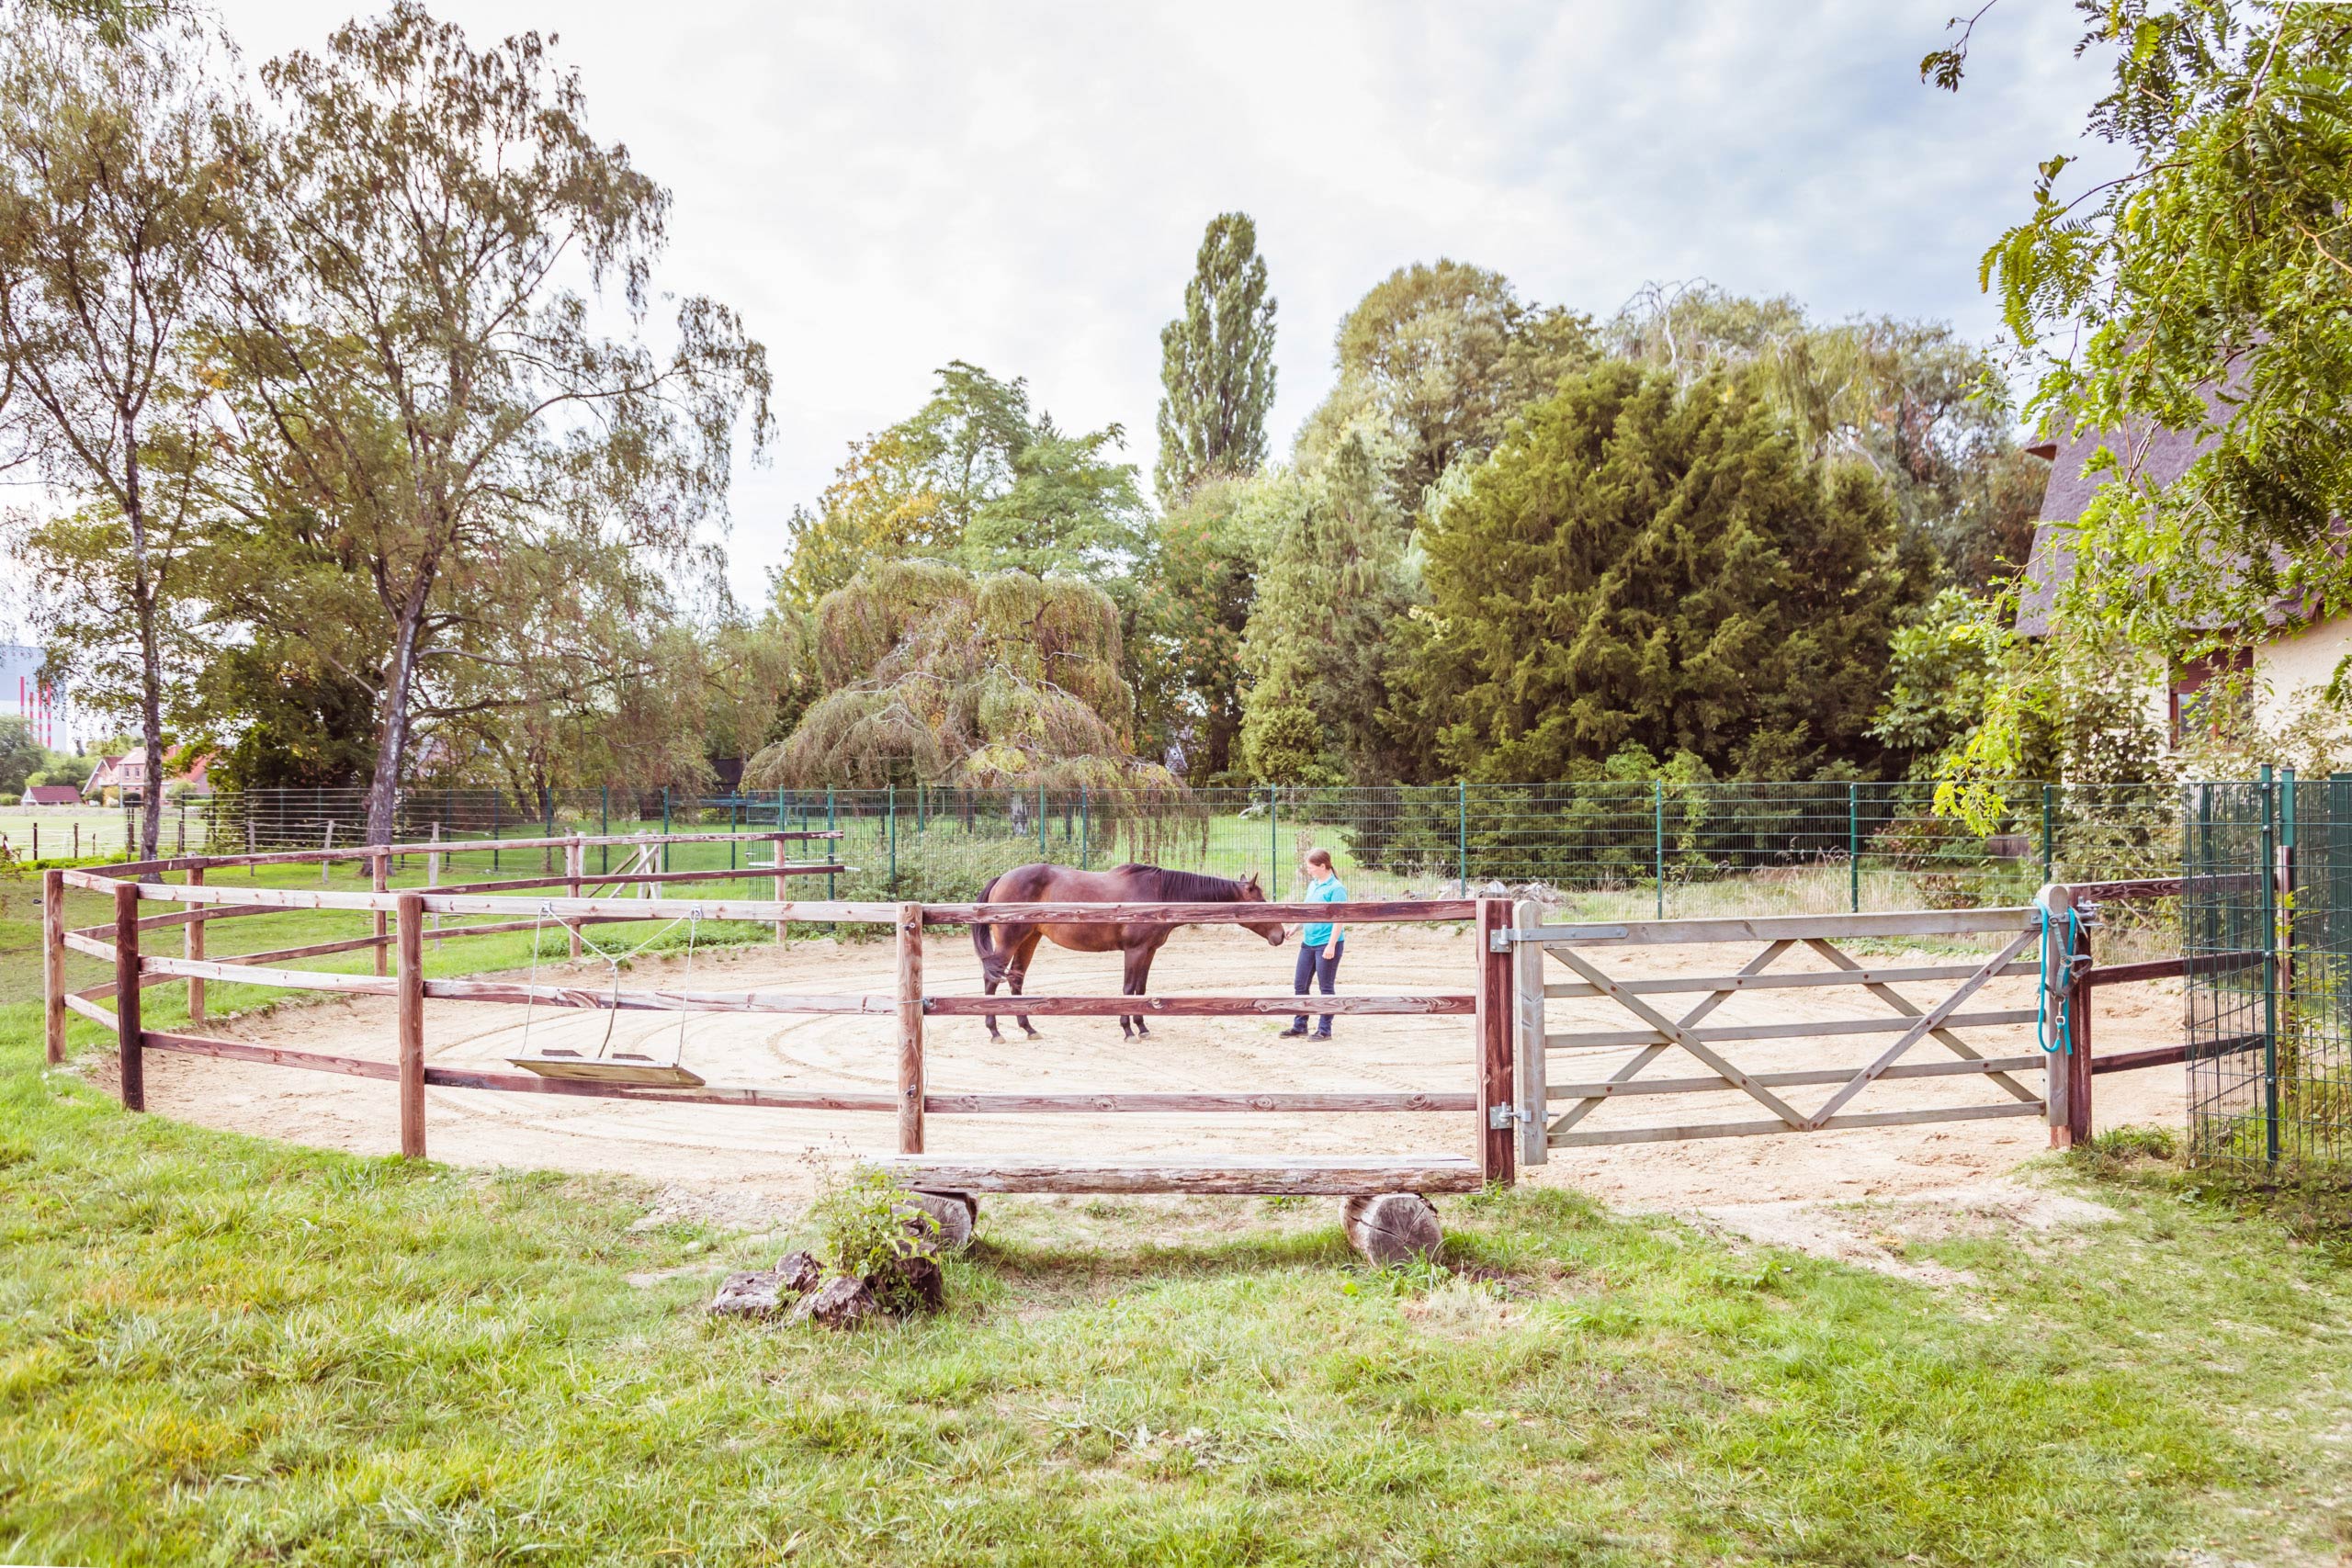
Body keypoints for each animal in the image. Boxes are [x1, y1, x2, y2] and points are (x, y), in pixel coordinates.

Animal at [968, 864, 1288, 1034]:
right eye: (1260, 902)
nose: (1280, 935)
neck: (1160, 895)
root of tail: (1002, 877)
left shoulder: (1149, 951)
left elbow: (1141, 991)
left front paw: (1142, 1027)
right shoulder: (1133, 951)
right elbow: (1127, 989)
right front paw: (1127, 1029)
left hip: (1029, 939)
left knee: (1016, 980)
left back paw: (1028, 1028)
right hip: (1010, 941)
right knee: (991, 980)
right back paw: (994, 1031)